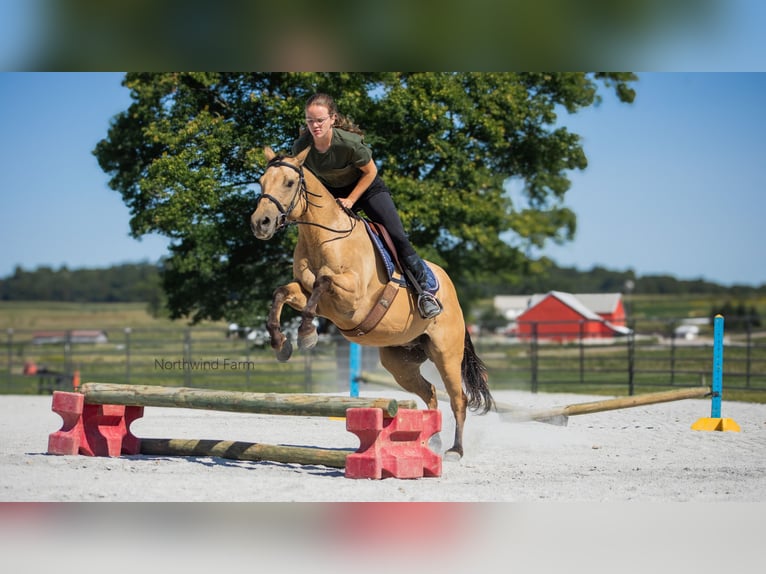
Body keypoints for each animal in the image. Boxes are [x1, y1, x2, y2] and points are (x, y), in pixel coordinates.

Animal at [249, 147, 496, 460]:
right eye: (261, 181)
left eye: (290, 183)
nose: (261, 223)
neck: (323, 237)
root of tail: (453, 296)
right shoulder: (310, 295)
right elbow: (282, 293)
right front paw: (281, 343)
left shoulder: (352, 298)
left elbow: (323, 281)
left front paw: (306, 334)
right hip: (400, 363)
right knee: (429, 393)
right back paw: (430, 442)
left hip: (446, 354)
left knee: (458, 398)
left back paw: (455, 450)